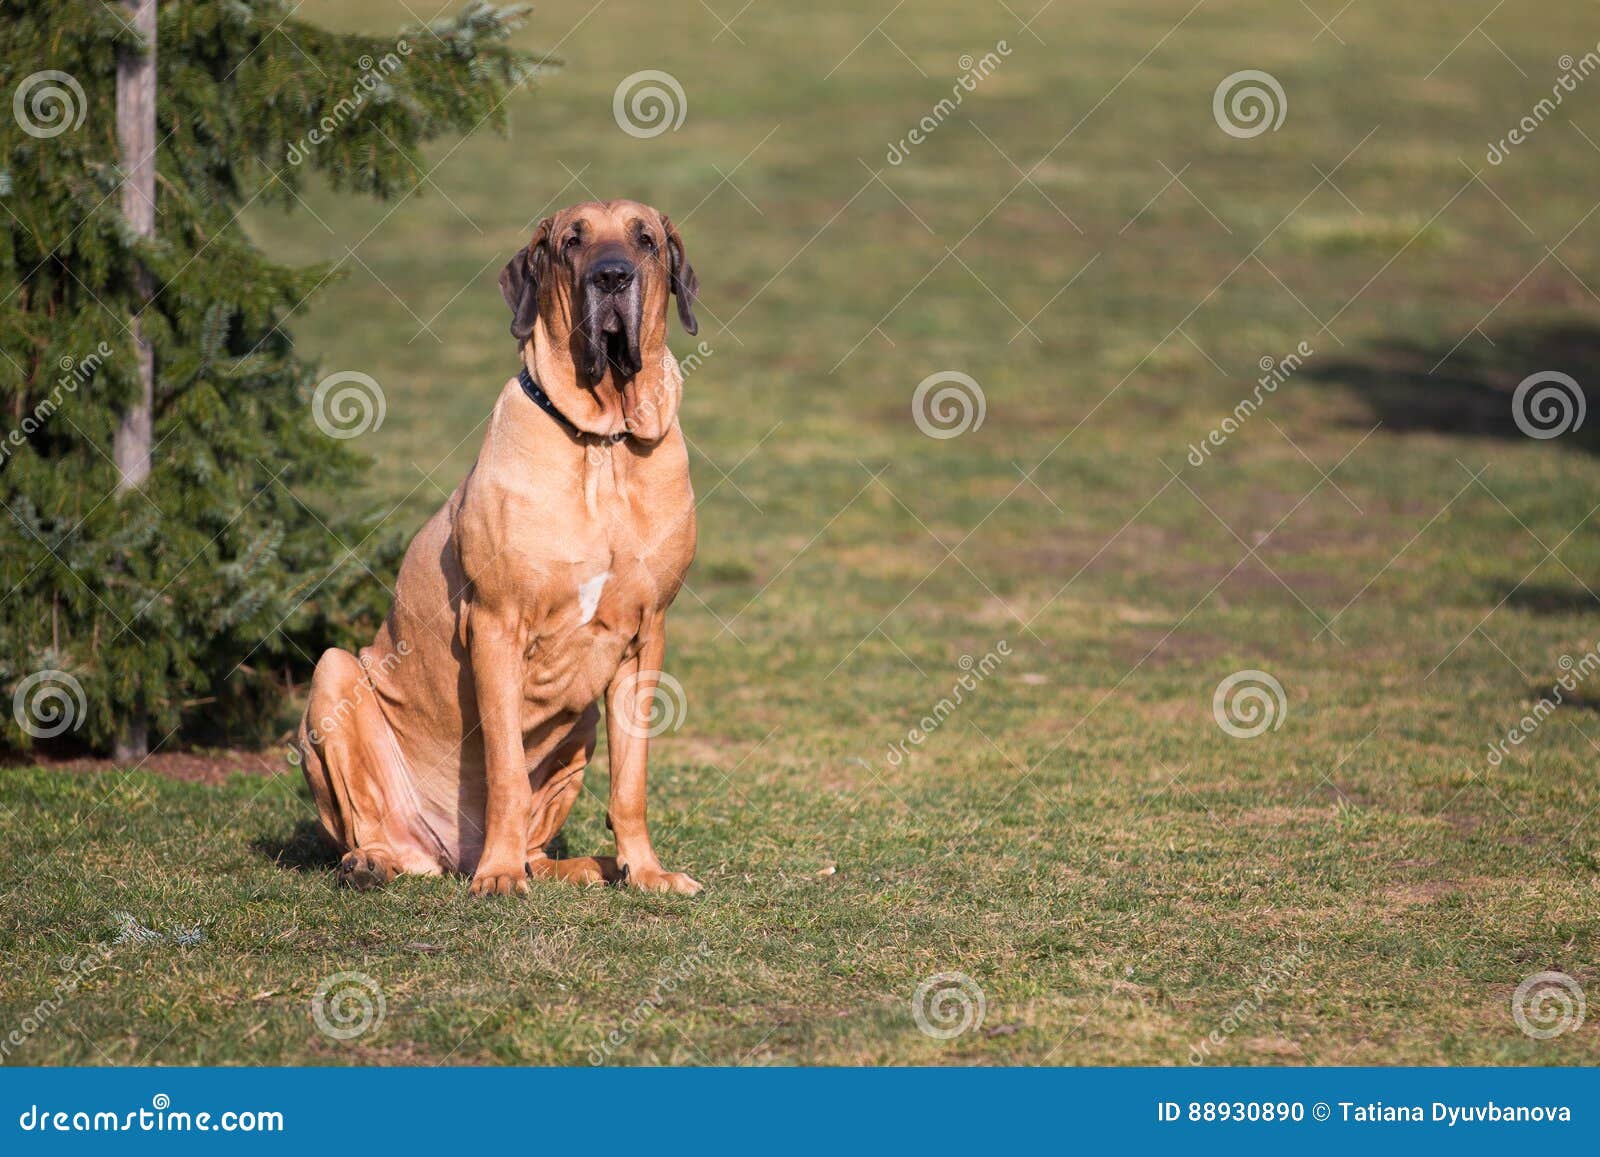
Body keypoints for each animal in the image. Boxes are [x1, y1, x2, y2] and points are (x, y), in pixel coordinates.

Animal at [296, 204, 707, 902]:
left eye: (646, 240)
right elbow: (507, 772)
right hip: (334, 677)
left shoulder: (646, 636)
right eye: (571, 242)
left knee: (545, 842)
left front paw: (646, 871)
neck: (604, 443)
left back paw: (580, 867)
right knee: (371, 827)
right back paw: (381, 863)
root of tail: (450, 852)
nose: (612, 276)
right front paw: (499, 876)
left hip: (581, 723)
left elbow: (631, 782)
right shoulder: (495, 625)